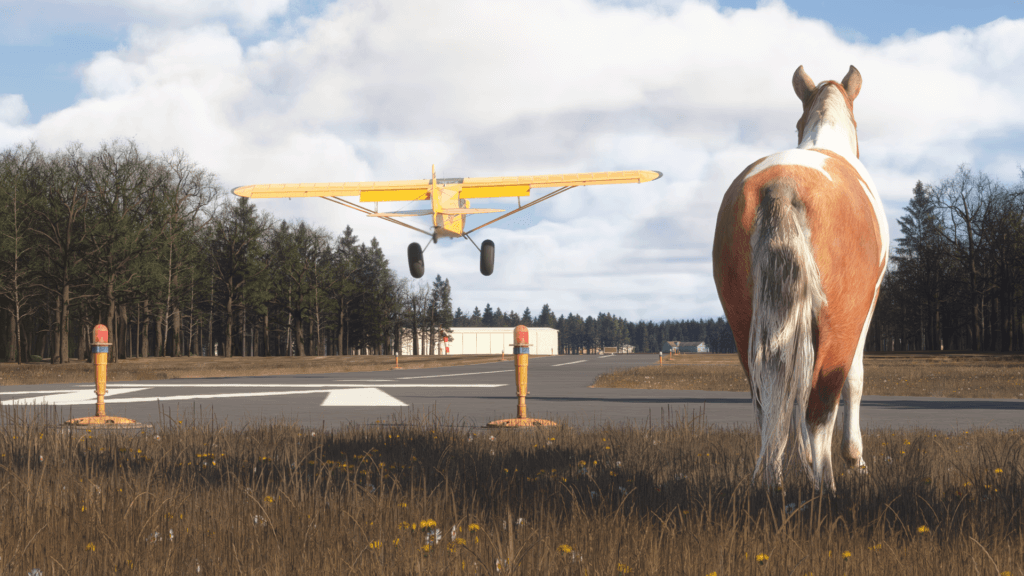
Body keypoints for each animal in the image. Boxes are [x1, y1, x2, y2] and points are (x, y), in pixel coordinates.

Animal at [711, 65, 889, 491]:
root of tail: (782, 185)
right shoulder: (867, 304)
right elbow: (855, 380)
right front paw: (856, 459)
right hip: (839, 325)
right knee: (819, 410)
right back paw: (827, 489)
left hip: (744, 324)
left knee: (769, 407)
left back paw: (773, 486)